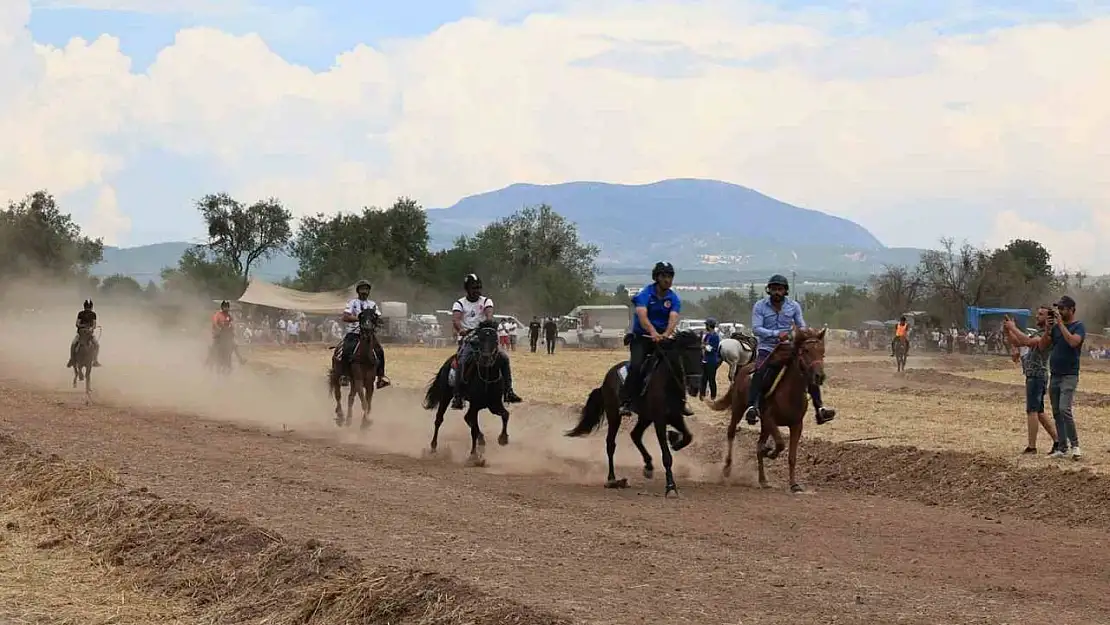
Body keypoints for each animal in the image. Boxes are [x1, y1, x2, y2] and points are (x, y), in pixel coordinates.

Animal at [421, 321, 508, 464]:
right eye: (480, 339)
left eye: (495, 339)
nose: (486, 358)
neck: (487, 377)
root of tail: (449, 362)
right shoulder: (475, 404)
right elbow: (474, 429)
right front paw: (473, 455)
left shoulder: (494, 404)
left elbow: (505, 415)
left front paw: (503, 438)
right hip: (446, 396)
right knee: (439, 419)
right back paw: (433, 448)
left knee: (468, 419)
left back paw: (482, 442)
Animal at [563, 330, 701, 497]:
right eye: (685, 355)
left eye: (702, 355)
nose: (695, 386)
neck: (667, 382)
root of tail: (606, 380)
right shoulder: (660, 420)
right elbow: (667, 456)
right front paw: (670, 487)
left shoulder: (675, 416)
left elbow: (688, 436)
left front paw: (674, 439)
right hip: (614, 415)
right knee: (611, 444)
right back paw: (612, 479)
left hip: (645, 417)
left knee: (635, 435)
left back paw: (648, 466)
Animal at [705, 328, 830, 495]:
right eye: (805, 350)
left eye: (822, 351)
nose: (819, 376)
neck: (790, 393)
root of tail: (744, 369)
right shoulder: (769, 418)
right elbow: (780, 444)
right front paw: (769, 452)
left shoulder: (796, 425)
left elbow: (791, 456)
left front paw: (794, 485)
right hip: (739, 409)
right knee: (731, 433)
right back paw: (727, 469)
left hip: (764, 425)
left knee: (758, 446)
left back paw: (763, 480)